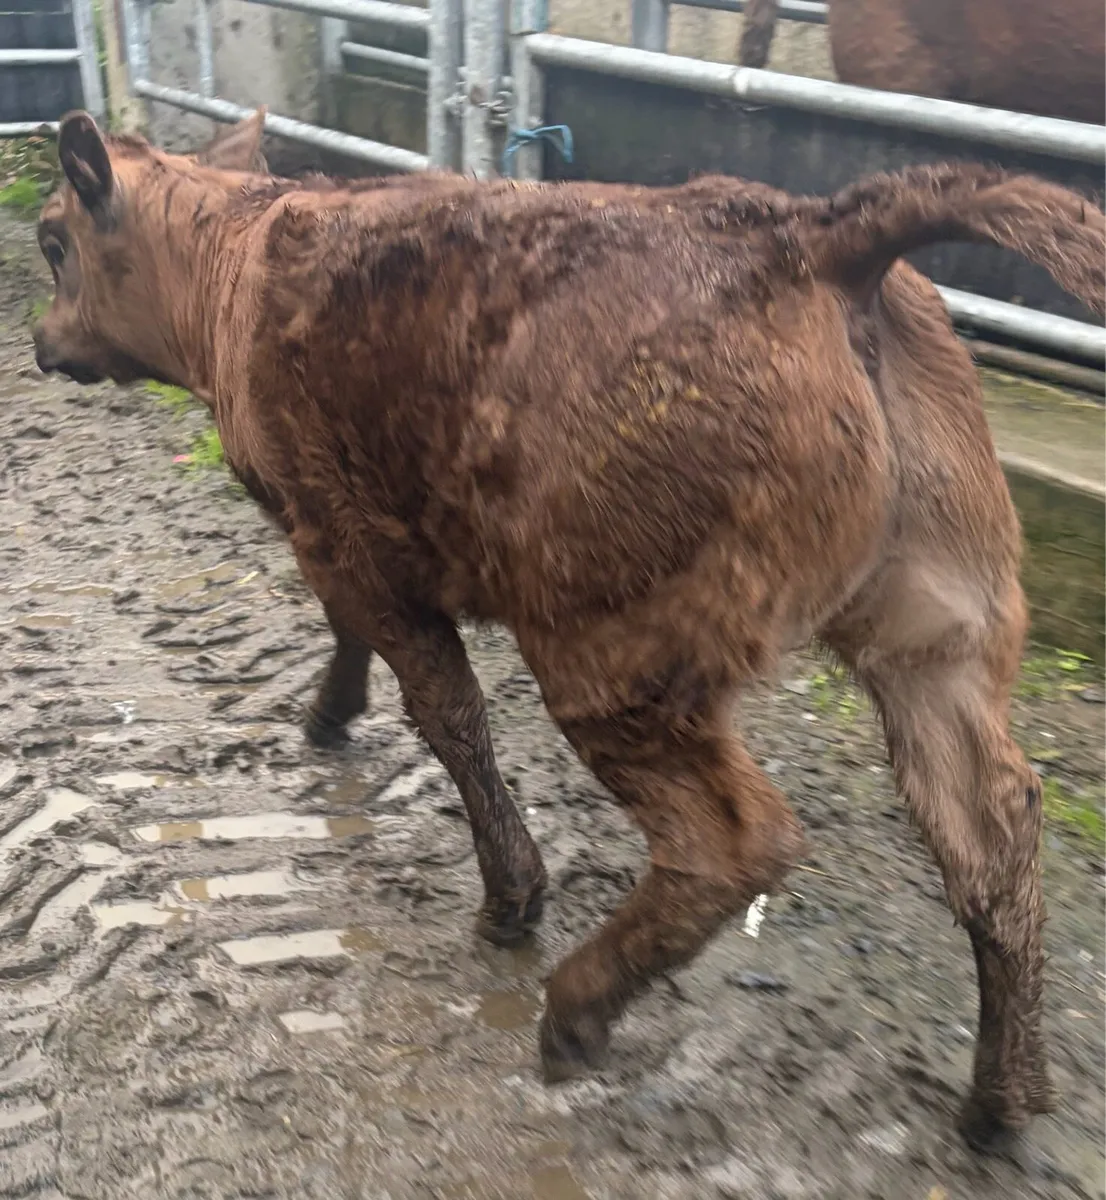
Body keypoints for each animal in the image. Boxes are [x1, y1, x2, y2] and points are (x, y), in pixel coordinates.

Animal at [31, 109, 1105, 1160]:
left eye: (50, 241)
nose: (39, 343)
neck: (234, 253)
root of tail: (812, 236)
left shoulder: (341, 538)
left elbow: (448, 711)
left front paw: (510, 893)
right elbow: (374, 656)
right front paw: (333, 714)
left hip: (612, 650)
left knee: (732, 838)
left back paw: (576, 1011)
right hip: (933, 636)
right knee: (993, 827)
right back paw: (1003, 1101)